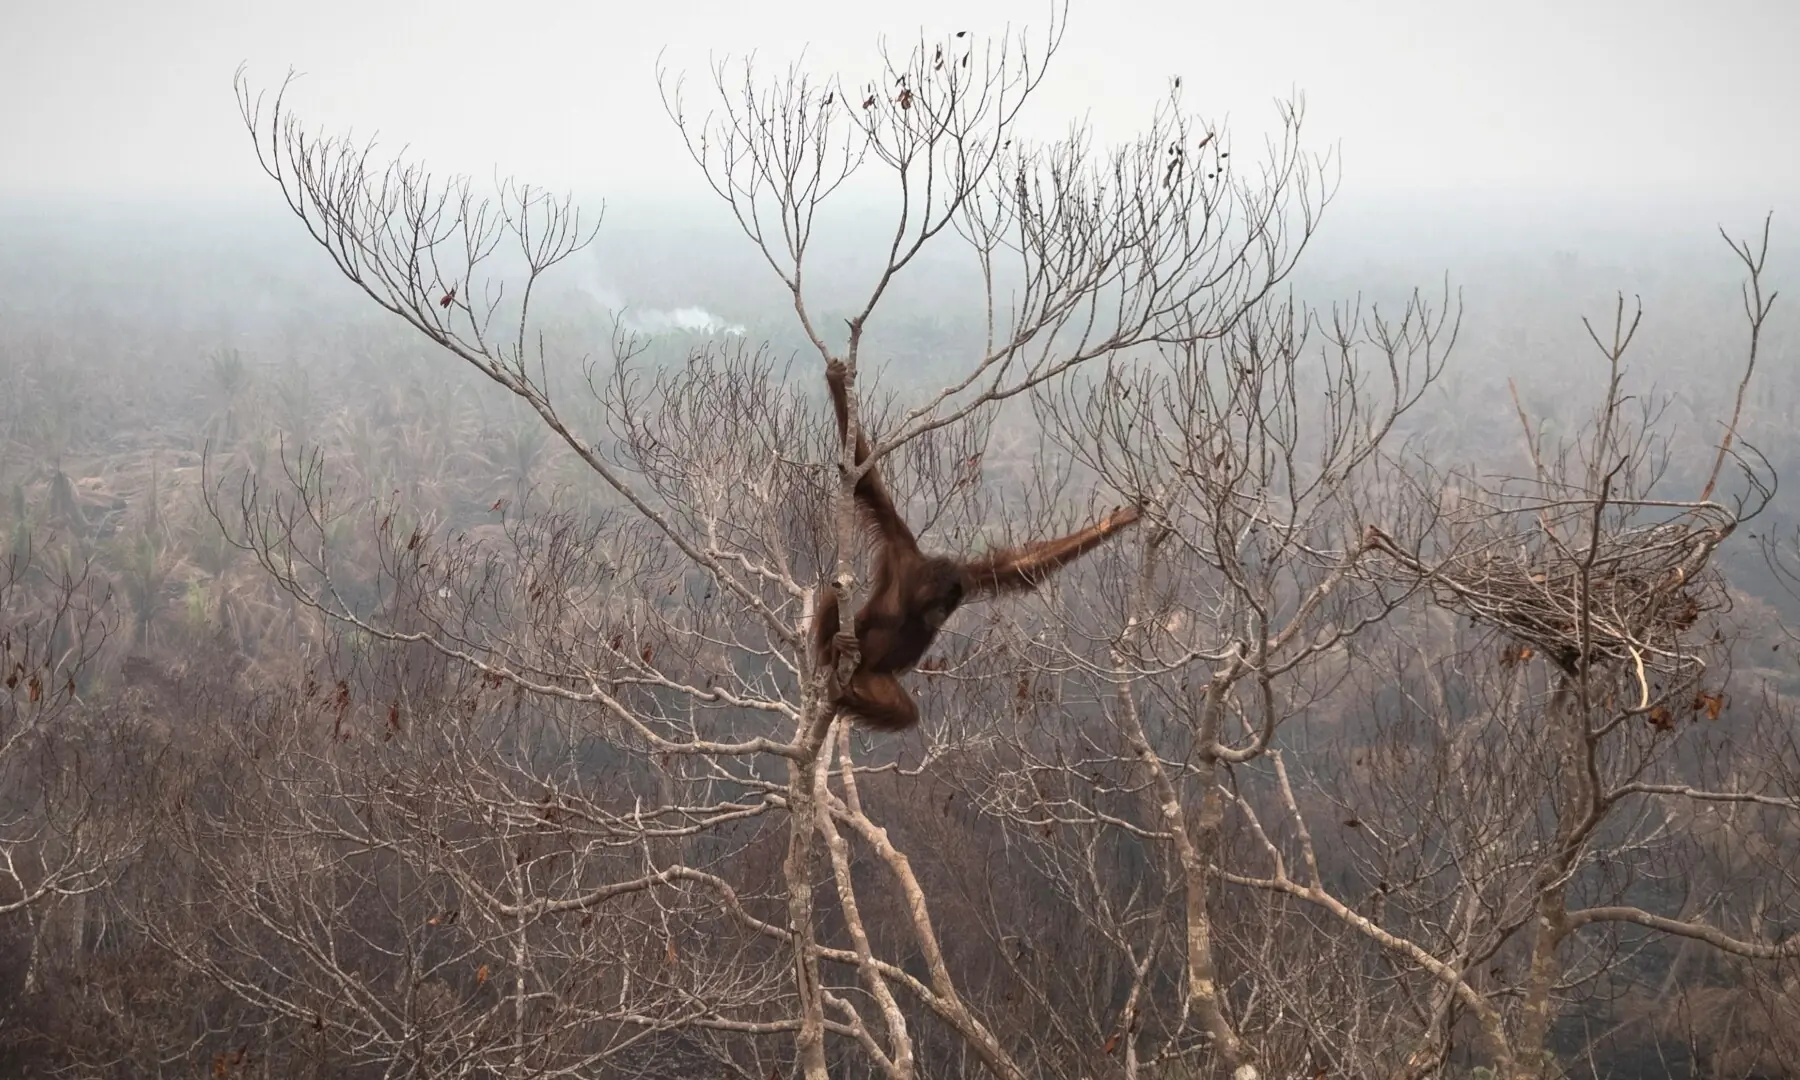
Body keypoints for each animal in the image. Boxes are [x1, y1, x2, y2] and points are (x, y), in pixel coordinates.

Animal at [812, 358, 1143, 731]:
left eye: (952, 603)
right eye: (942, 600)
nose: (942, 614)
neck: (917, 593)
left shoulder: (970, 576)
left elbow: (1021, 566)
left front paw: (1119, 520)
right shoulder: (900, 545)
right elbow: (867, 482)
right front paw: (836, 379)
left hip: (872, 678)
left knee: (903, 712)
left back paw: (845, 696)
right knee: (833, 599)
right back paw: (833, 649)